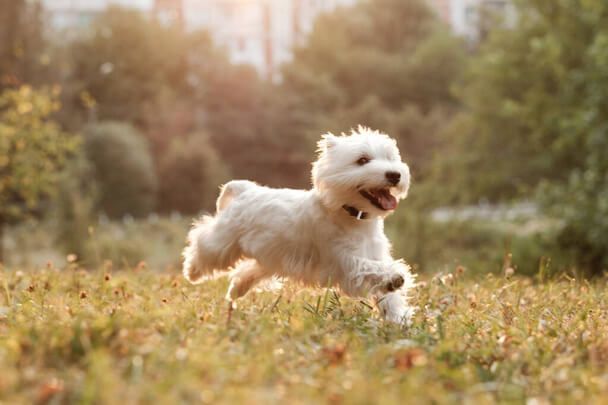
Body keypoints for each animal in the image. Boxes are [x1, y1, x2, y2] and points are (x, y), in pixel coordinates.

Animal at [183, 125, 416, 322]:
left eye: (390, 158)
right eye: (362, 160)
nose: (395, 175)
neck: (353, 216)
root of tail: (245, 190)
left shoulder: (375, 254)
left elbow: (388, 295)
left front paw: (398, 319)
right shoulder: (343, 260)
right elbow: (369, 269)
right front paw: (395, 277)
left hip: (270, 256)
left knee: (249, 270)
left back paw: (236, 290)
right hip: (225, 241)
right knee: (203, 241)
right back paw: (192, 272)